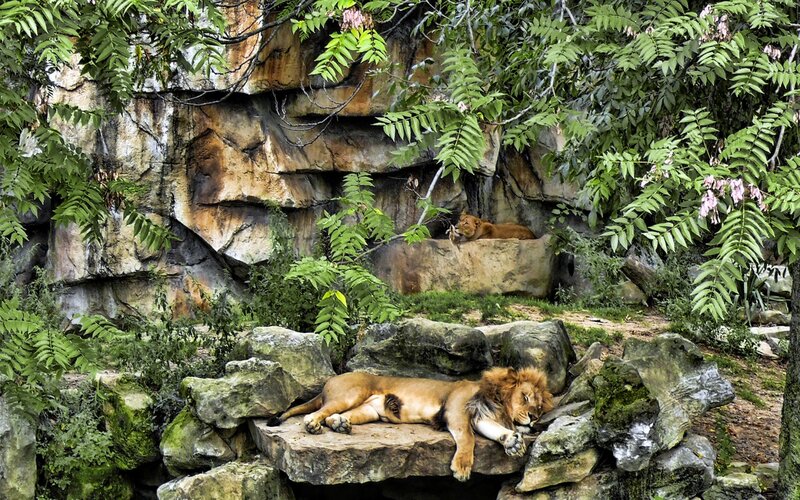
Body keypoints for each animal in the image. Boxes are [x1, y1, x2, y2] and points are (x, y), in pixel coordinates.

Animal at [267, 367, 553, 481]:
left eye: (540, 408)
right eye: (525, 397)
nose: (533, 418)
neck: (496, 403)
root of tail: (330, 380)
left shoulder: (480, 417)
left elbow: (493, 431)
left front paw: (512, 442)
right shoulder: (456, 410)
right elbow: (467, 437)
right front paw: (461, 467)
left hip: (369, 410)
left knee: (334, 415)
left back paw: (340, 425)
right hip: (351, 393)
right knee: (319, 412)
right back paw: (313, 424)